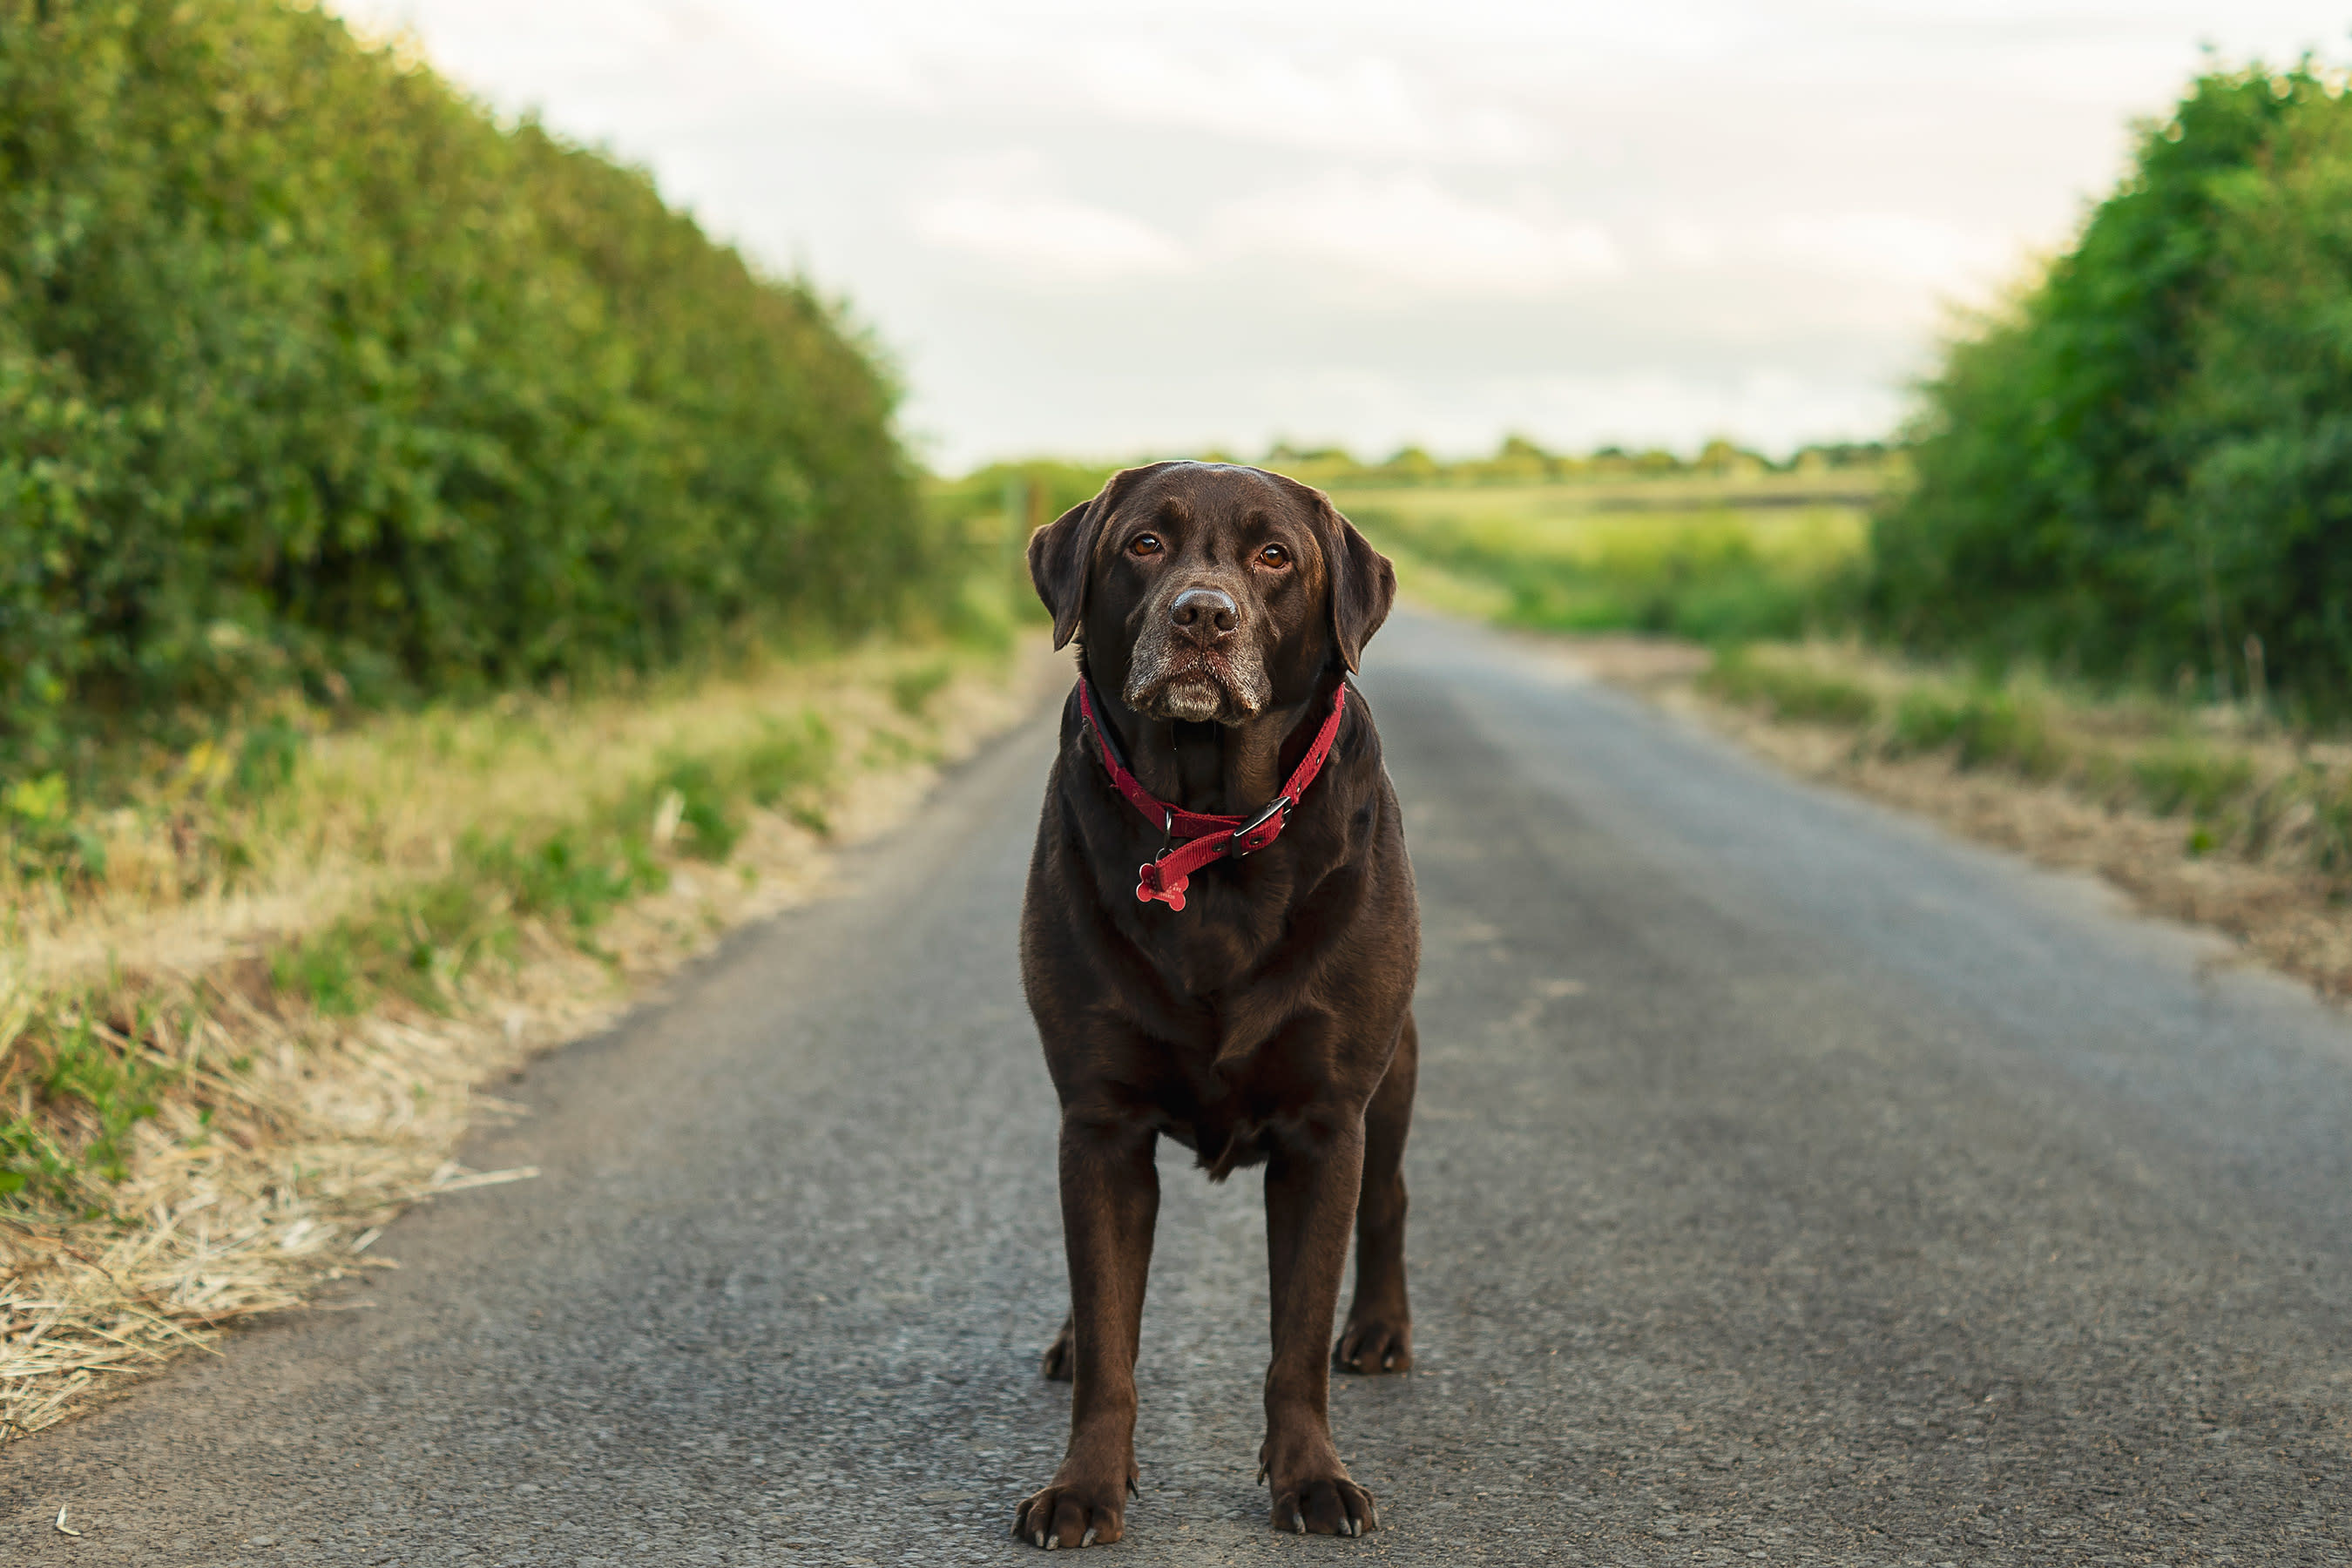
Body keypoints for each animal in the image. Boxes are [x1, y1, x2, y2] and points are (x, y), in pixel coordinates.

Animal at [1011, 463, 1411, 1542]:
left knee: (1390, 1200)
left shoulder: (1326, 1126)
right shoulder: (1098, 1124)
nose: (1201, 615)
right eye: (1144, 544)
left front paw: (1311, 1478)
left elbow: (1297, 1339)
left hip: (1394, 1077)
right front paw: (1084, 1487)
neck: (1209, 828)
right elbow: (1111, 1330)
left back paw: (1382, 1329)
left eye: (1274, 555)